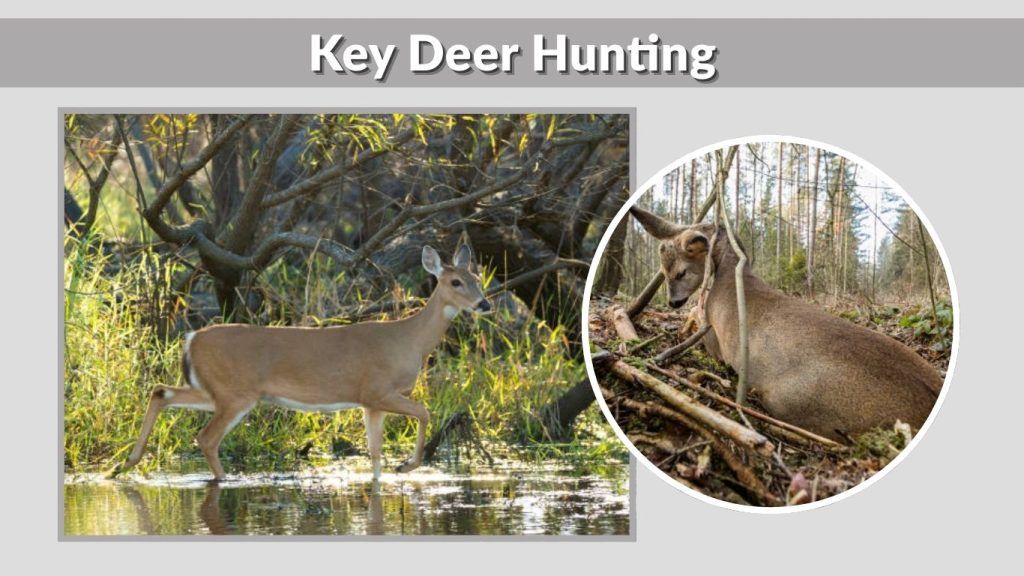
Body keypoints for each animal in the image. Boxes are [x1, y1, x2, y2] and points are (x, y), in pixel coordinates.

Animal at [121, 245, 490, 481]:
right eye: (455, 281)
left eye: (477, 278)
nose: (484, 304)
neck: (407, 340)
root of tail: (192, 338)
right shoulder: (377, 391)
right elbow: (425, 413)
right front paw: (407, 466)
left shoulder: (370, 403)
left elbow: (374, 454)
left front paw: (389, 475)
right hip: (235, 393)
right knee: (206, 438)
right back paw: (223, 479)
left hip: (212, 389)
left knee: (161, 391)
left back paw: (130, 460)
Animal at [628, 206, 942, 442]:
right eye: (662, 270)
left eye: (681, 272)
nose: (673, 303)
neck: (729, 277)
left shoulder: (714, 336)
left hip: (788, 399)